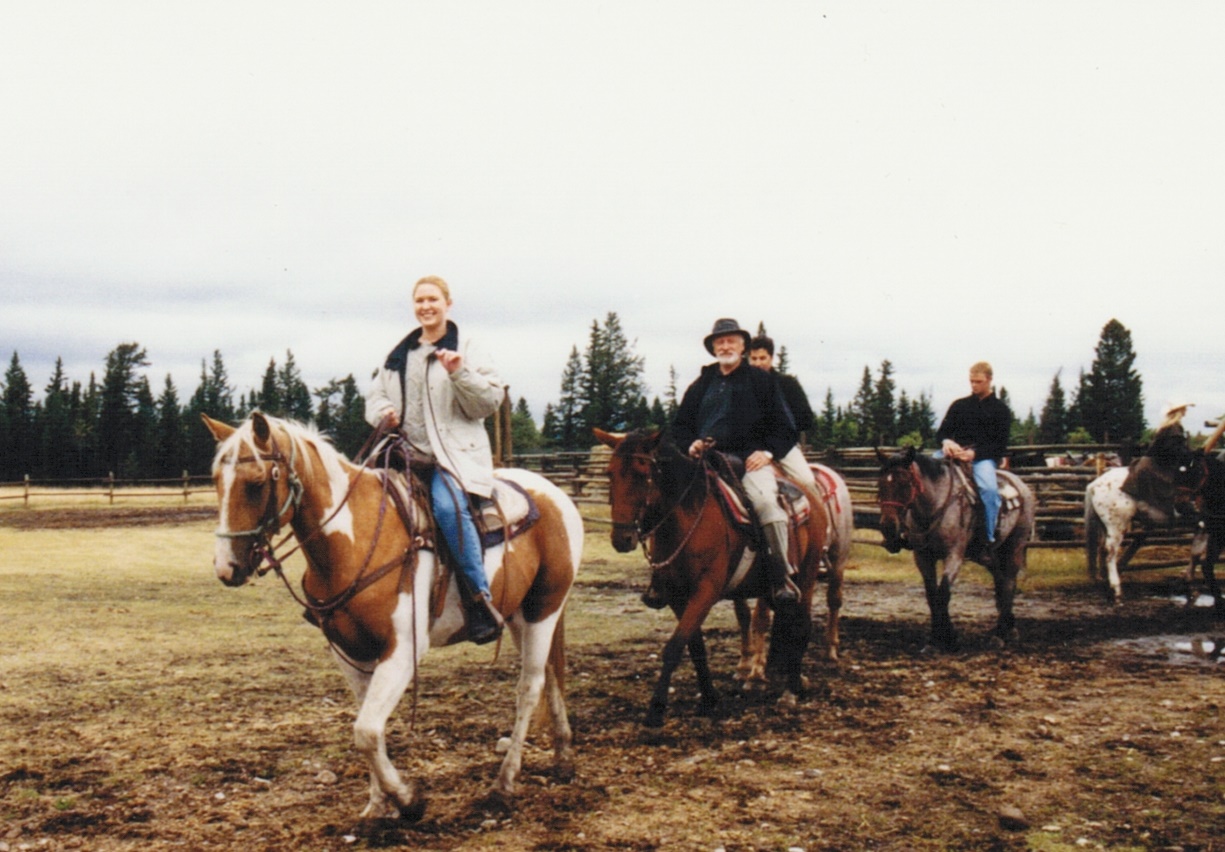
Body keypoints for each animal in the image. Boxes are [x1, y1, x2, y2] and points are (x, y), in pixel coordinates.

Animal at [202, 413, 583, 827]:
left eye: (256, 483)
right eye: (216, 480)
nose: (226, 568)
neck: (353, 541)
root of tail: (554, 493)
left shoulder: (402, 652)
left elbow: (367, 730)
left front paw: (408, 800)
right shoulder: (350, 653)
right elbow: (368, 727)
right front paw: (377, 804)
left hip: (545, 607)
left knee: (529, 687)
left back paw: (504, 783)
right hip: (518, 614)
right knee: (549, 674)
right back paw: (563, 755)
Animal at [590, 426, 837, 724]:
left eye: (642, 472)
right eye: (609, 473)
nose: (622, 539)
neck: (689, 519)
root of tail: (811, 496)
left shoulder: (705, 591)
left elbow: (675, 646)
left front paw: (656, 710)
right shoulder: (677, 596)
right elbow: (695, 645)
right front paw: (709, 699)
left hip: (807, 576)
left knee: (800, 627)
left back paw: (789, 693)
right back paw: (790, 681)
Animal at [877, 445, 1038, 651]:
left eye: (905, 483)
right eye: (880, 484)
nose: (888, 529)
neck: (935, 506)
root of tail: (1021, 485)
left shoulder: (954, 555)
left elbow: (943, 593)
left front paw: (947, 638)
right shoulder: (923, 556)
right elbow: (932, 595)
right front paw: (936, 639)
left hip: (1014, 546)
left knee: (1009, 582)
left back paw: (1000, 634)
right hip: (989, 555)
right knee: (1001, 581)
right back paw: (1009, 627)